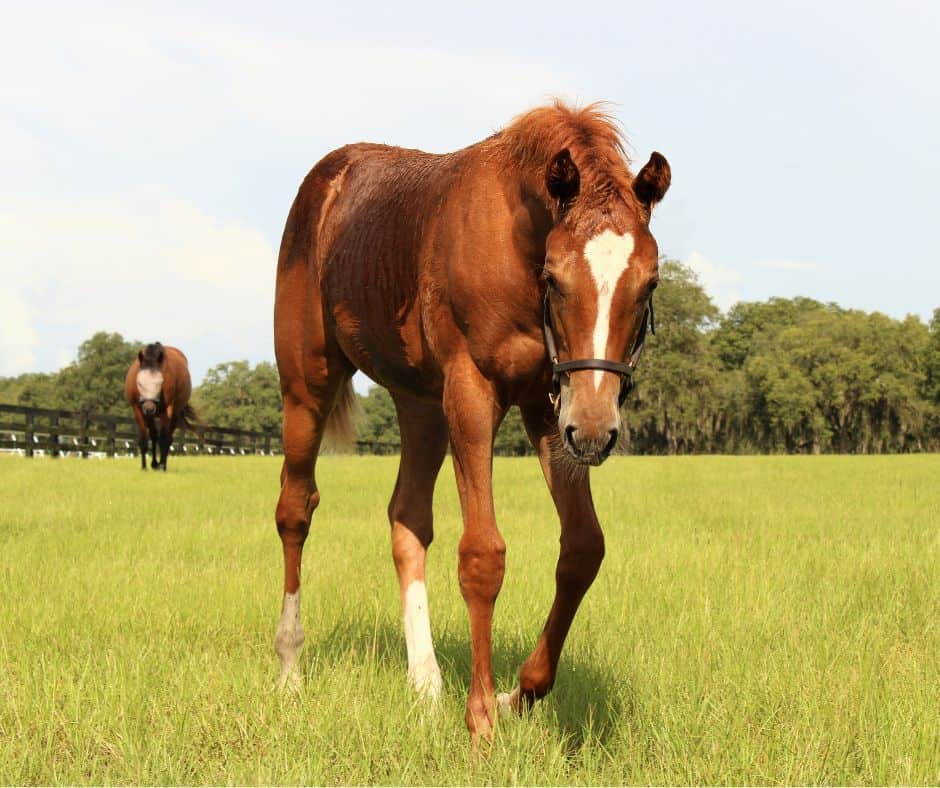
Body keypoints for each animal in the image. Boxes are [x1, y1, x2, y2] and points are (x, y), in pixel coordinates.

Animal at [124, 342, 196, 471]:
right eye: (139, 383)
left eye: (160, 383)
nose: (149, 408)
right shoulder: (137, 409)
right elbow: (145, 438)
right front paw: (144, 467)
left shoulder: (167, 410)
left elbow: (163, 438)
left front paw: (162, 466)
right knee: (154, 435)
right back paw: (154, 463)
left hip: (174, 413)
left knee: (168, 438)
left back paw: (162, 464)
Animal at [272, 101, 670, 739]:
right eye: (554, 277)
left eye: (649, 282)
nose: (595, 431)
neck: (513, 240)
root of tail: (327, 179)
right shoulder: (473, 392)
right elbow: (483, 555)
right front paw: (481, 718)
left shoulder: (547, 403)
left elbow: (583, 547)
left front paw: (518, 694)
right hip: (307, 384)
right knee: (295, 509)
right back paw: (290, 669)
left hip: (420, 406)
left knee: (408, 518)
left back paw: (426, 684)